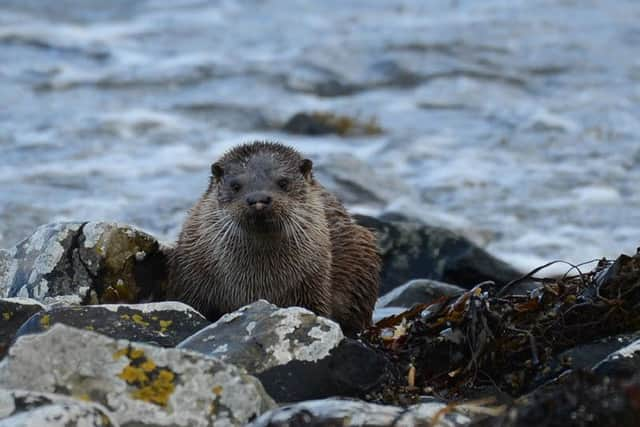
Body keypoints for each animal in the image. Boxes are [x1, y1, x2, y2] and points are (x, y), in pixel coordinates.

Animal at [168, 142, 382, 336]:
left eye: (283, 183)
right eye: (235, 186)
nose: (258, 199)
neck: (260, 283)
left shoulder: (315, 283)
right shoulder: (194, 280)